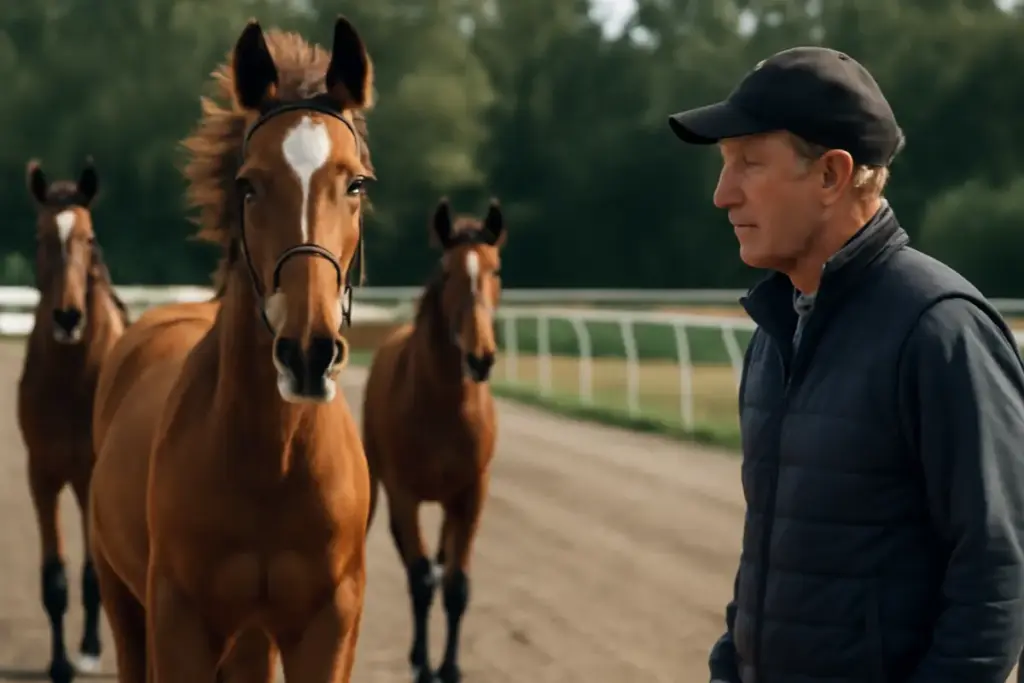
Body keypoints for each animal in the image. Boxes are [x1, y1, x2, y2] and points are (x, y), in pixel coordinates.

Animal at [87, 15, 375, 683]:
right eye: (249, 186)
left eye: (355, 182)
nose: (308, 354)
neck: (272, 461)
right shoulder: (179, 624)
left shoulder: (328, 627)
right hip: (123, 598)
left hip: (251, 639)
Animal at [362, 197, 506, 683]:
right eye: (447, 273)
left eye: (496, 270)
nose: (481, 358)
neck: (443, 407)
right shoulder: (403, 493)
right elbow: (420, 578)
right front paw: (424, 665)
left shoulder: (471, 492)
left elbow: (456, 583)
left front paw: (451, 666)